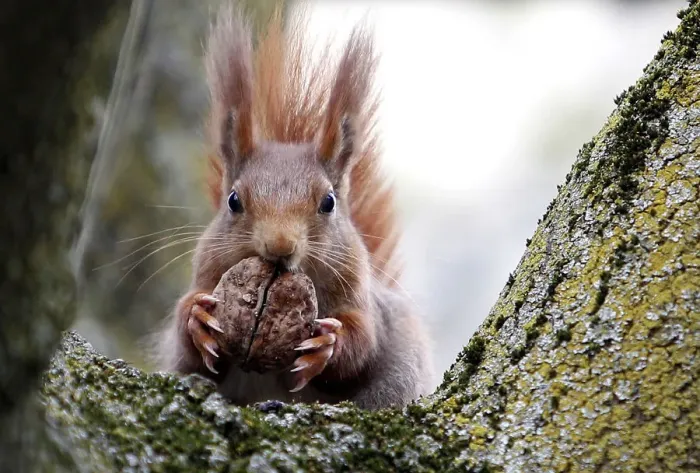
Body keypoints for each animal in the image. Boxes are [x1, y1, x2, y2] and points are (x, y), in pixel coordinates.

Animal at [157, 2, 434, 410]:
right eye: (233, 201)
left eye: (329, 202)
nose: (280, 245)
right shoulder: (207, 273)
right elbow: (189, 349)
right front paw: (197, 319)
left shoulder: (362, 299)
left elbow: (363, 342)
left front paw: (327, 344)